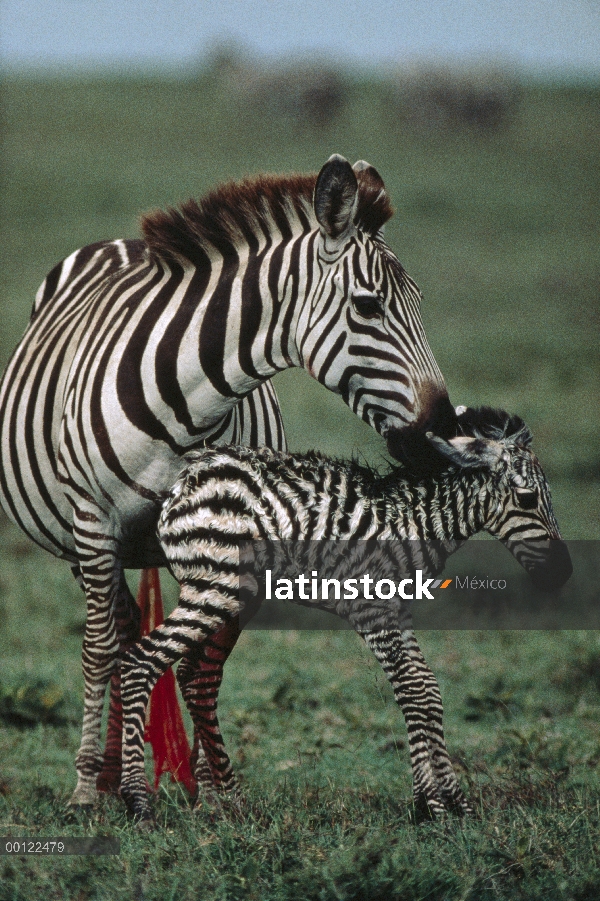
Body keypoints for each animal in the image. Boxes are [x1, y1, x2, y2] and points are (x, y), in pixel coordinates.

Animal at [0, 151, 454, 804]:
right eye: (368, 307)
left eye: (418, 301)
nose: (443, 430)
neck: (188, 413)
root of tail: (120, 243)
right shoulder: (93, 528)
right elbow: (101, 652)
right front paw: (87, 789)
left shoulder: (244, 537)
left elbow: (204, 664)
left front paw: (215, 790)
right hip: (83, 546)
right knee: (110, 638)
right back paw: (102, 775)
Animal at [118, 408, 572, 824]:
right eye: (528, 499)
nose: (563, 574)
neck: (414, 523)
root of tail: (183, 483)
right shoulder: (372, 608)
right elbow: (413, 689)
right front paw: (433, 805)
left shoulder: (399, 610)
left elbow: (426, 689)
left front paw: (450, 801)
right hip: (213, 588)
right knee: (140, 661)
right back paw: (139, 802)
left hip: (221, 594)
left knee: (194, 674)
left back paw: (221, 800)